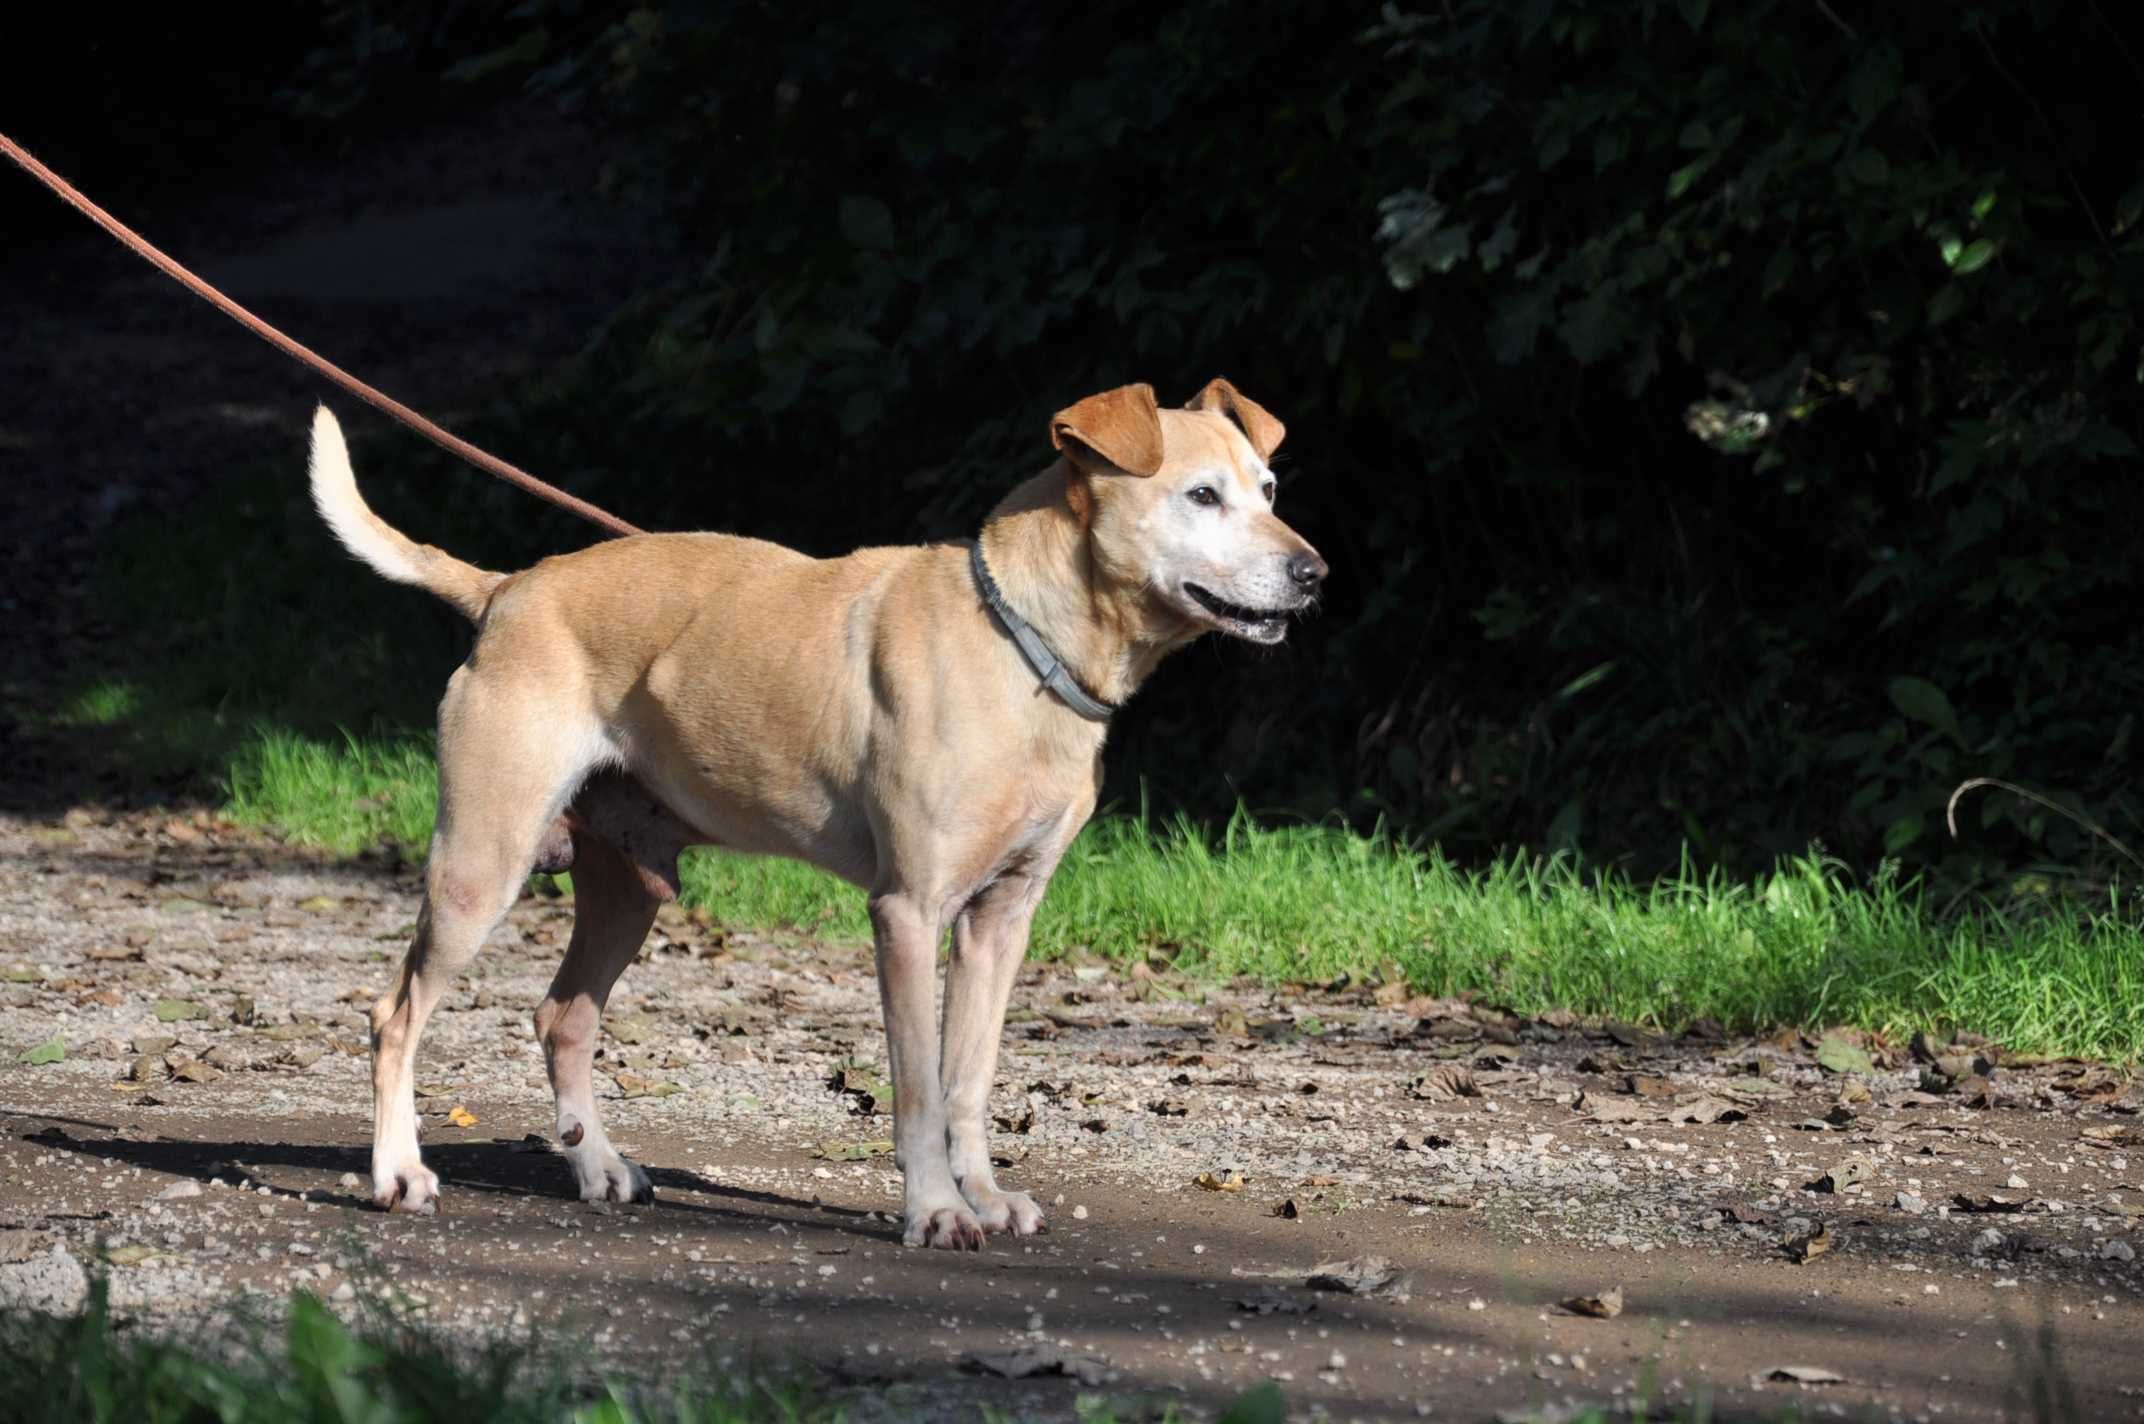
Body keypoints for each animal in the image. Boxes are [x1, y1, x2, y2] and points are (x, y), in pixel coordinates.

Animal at [308, 377, 1320, 1243]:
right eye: (1201, 496)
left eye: (1269, 487)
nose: (1313, 572)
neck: (1021, 644)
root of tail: (508, 589)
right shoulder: (908, 912)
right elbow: (918, 1085)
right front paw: (936, 1209)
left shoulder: (1001, 919)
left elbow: (969, 1078)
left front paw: (985, 1195)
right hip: (481, 866)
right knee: (395, 1015)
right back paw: (399, 1173)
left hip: (630, 890)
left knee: (564, 1020)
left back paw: (597, 1168)